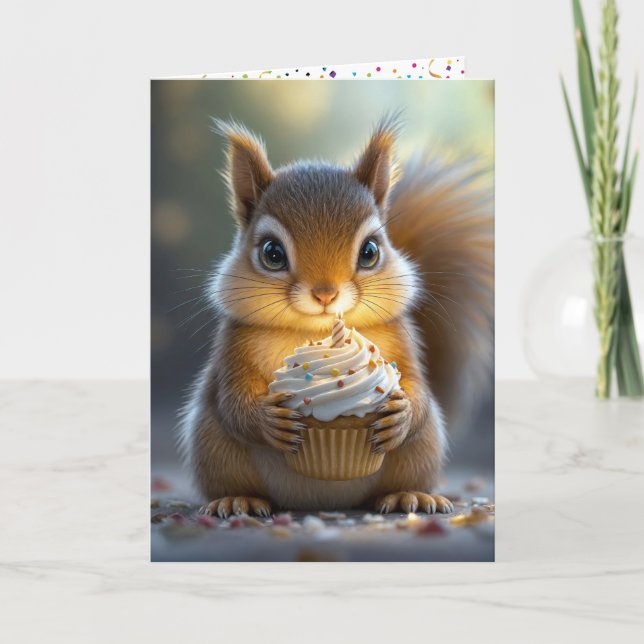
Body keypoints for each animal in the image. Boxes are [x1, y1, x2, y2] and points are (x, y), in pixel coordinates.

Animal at [178, 114, 493, 517]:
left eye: (370, 251)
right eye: (272, 253)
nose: (325, 294)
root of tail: (322, 501)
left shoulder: (401, 339)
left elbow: (417, 387)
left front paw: (402, 414)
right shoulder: (234, 343)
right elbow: (232, 399)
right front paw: (267, 420)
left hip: (423, 448)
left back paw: (409, 496)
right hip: (212, 445)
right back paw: (238, 500)